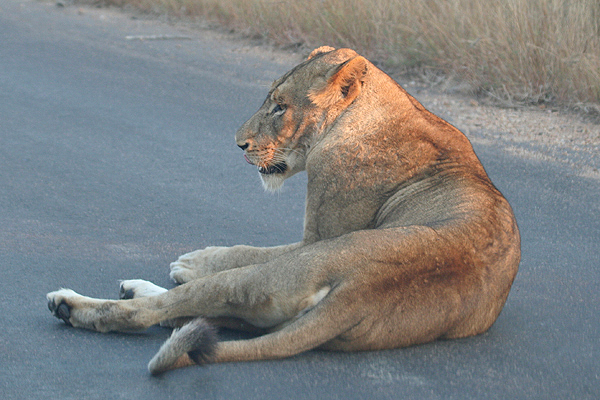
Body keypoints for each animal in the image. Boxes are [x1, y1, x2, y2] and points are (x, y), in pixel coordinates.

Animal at [47, 47, 516, 376]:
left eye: (280, 107)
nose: (238, 143)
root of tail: (363, 290)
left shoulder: (317, 237)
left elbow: (247, 249)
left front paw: (192, 262)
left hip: (276, 275)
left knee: (157, 312)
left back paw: (74, 305)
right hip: (270, 312)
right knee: (194, 318)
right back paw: (136, 290)